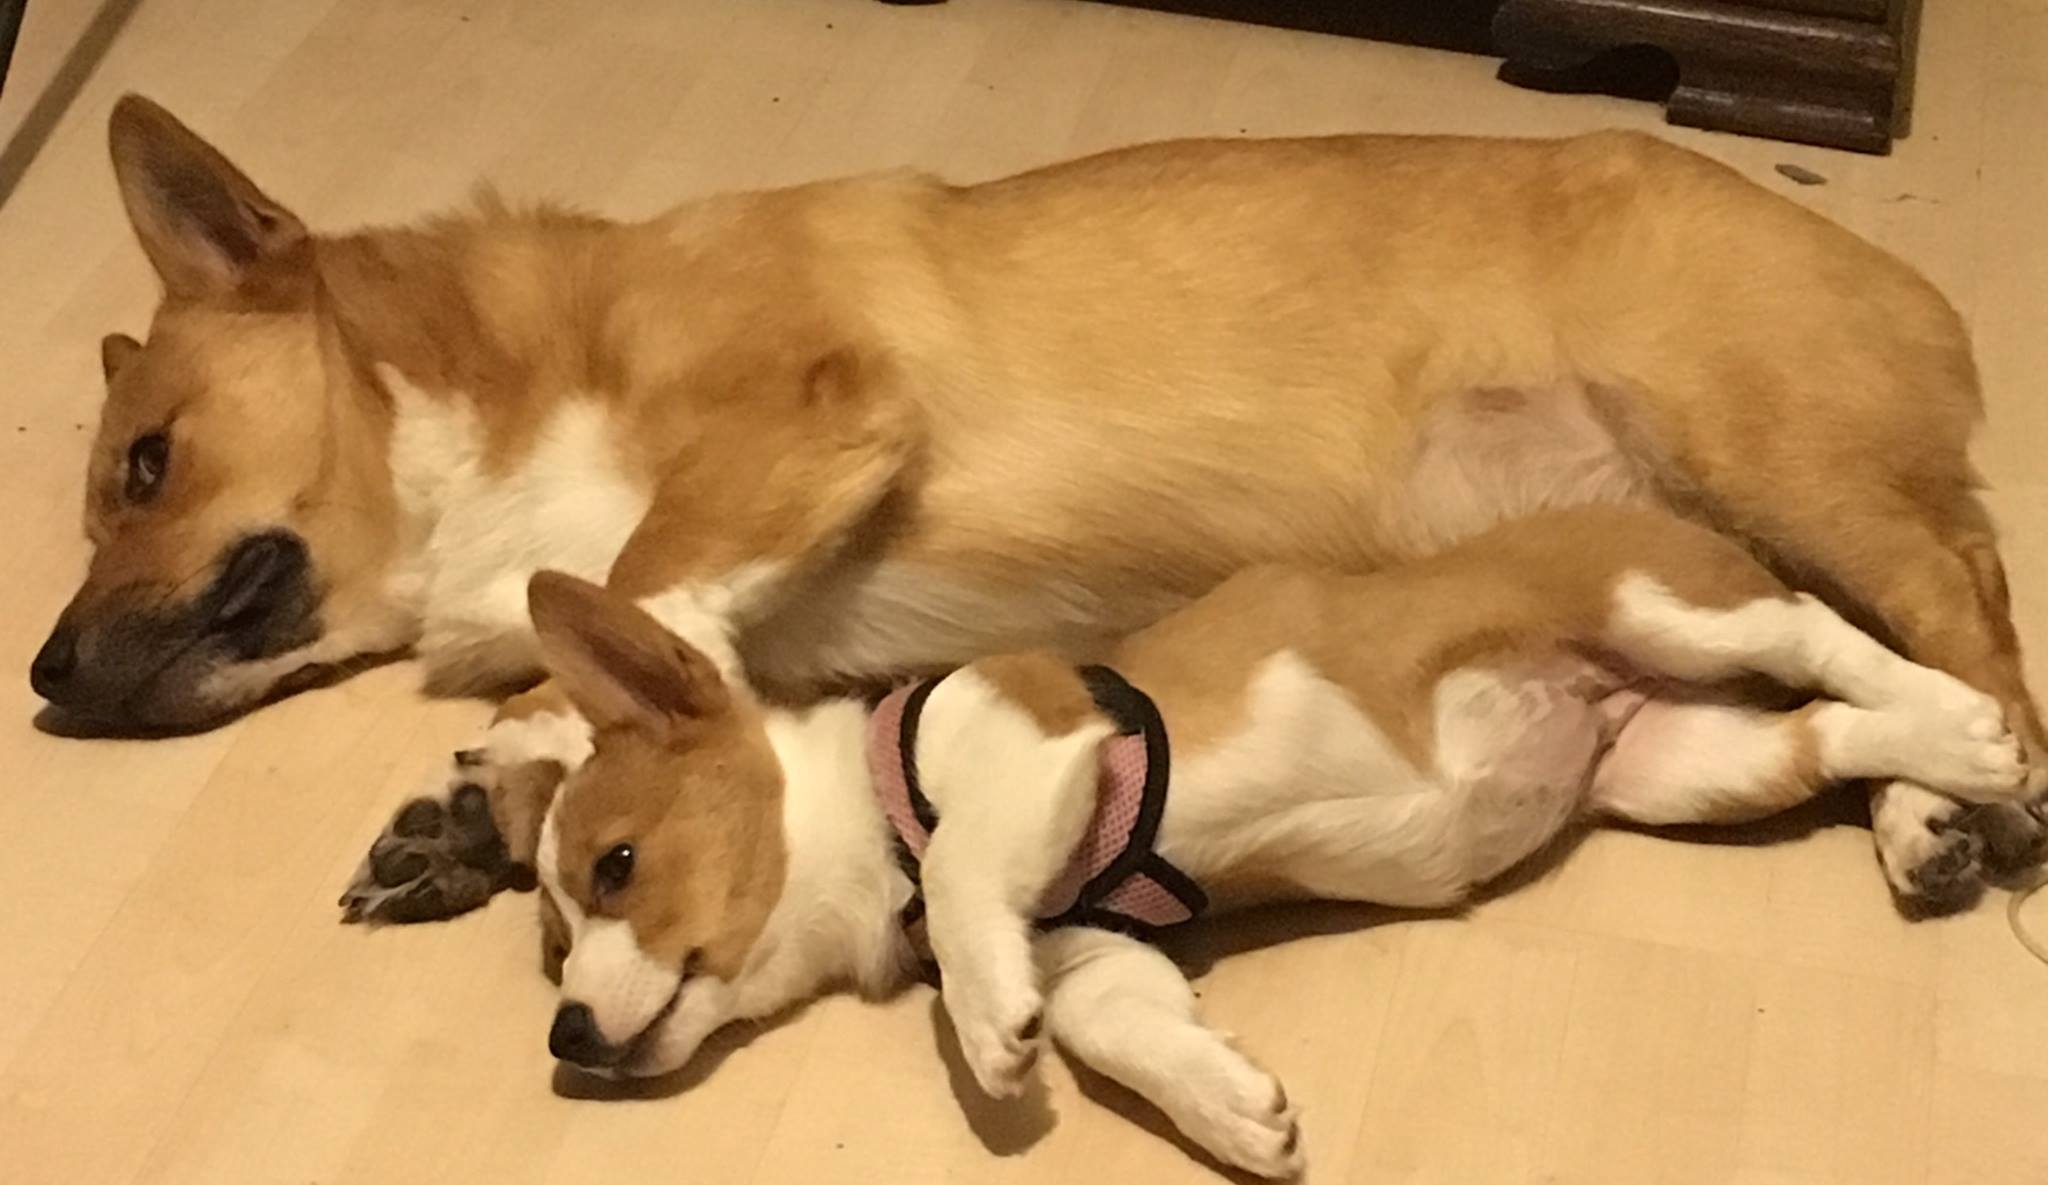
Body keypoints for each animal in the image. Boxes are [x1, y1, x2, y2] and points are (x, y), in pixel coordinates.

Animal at [36, 97, 2048, 920]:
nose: (43, 681)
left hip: (1772, 455)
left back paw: (1970, 795)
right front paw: (481, 814)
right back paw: (1918, 817)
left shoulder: (805, 419)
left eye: (142, 464)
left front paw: (527, 738)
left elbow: (636, 589)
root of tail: (1909, 289)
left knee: (1965, 626)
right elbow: (645, 653)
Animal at [520, 507, 2023, 1178]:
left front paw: (987, 1028)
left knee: (1829, 644)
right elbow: (1123, 1030)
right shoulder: (1093, 952)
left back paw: (1974, 732)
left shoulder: (1033, 746)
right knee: (1830, 729)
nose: (567, 1038)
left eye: (614, 870)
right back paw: (1938, 773)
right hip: (1685, 768)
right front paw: (1231, 1108)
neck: (871, 816)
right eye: (555, 941)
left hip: (1669, 609)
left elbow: (959, 885)